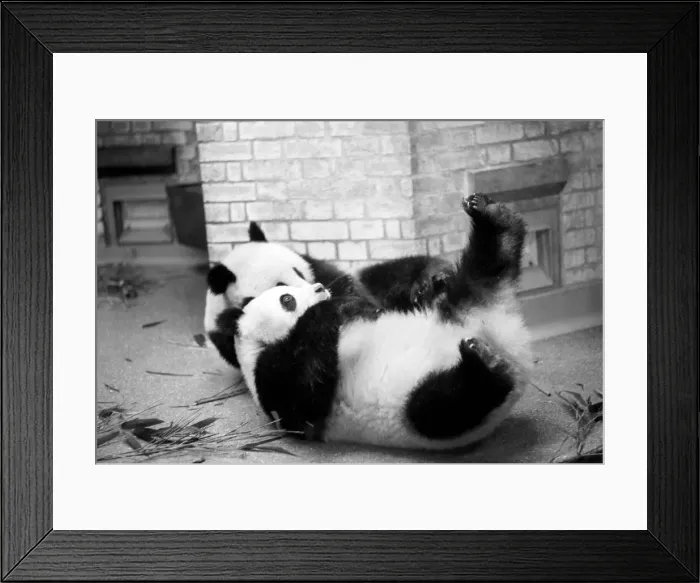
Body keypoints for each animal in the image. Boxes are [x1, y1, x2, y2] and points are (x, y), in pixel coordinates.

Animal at [204, 221, 451, 369]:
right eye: (280, 286)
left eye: (298, 271)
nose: (319, 289)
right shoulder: (225, 333)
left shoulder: (317, 267)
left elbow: (346, 283)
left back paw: (432, 283)